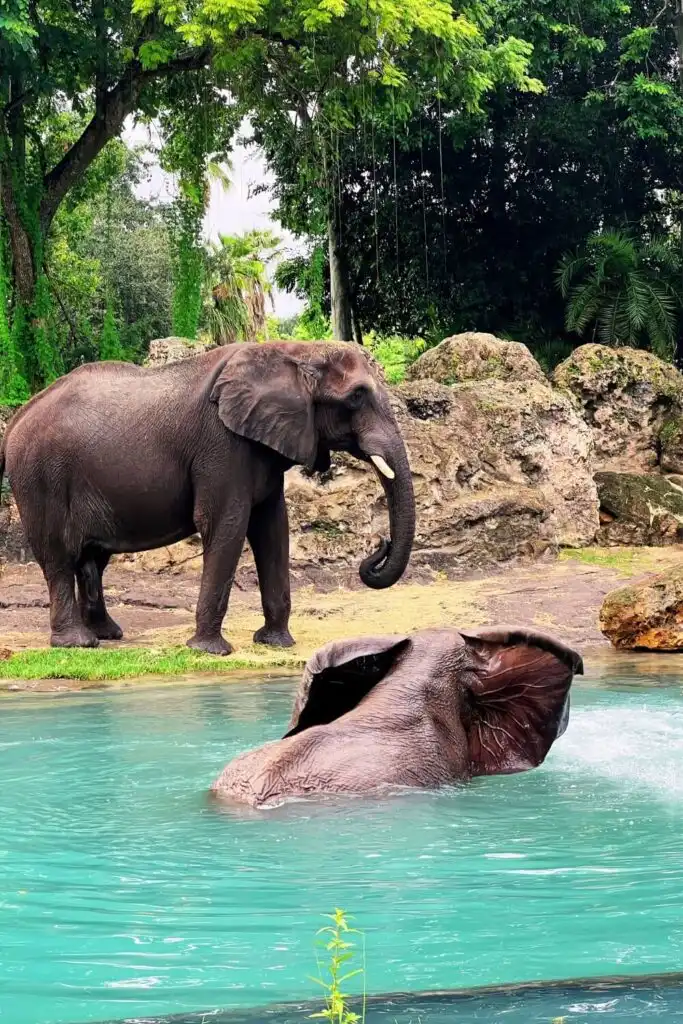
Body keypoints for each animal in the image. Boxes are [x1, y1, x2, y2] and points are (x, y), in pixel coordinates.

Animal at [0, 342, 415, 653]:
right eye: (357, 397)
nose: (378, 545)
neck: (294, 352)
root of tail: (16, 421)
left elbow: (272, 529)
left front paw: (276, 643)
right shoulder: (221, 446)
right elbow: (226, 524)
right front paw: (210, 651)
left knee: (92, 559)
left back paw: (108, 635)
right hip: (41, 478)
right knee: (59, 555)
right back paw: (78, 643)